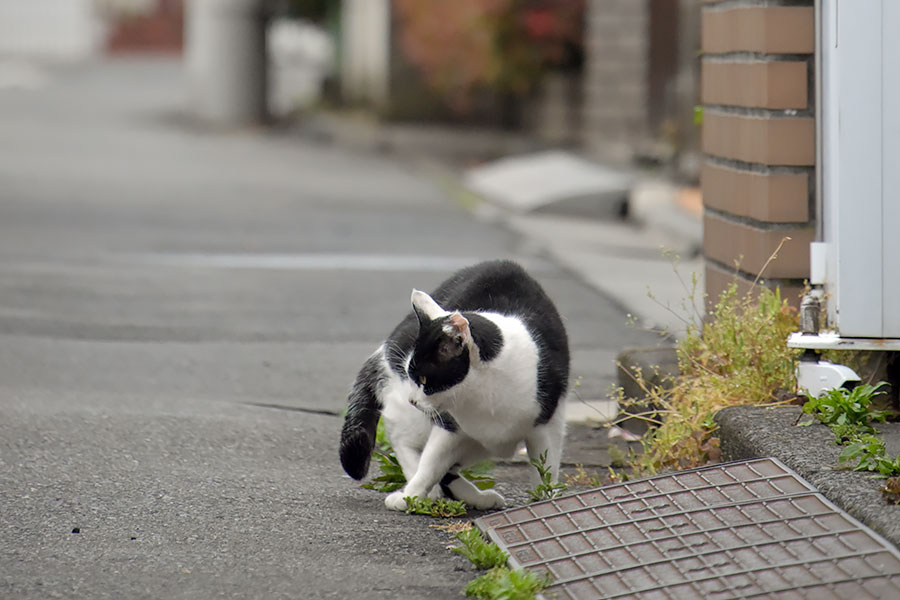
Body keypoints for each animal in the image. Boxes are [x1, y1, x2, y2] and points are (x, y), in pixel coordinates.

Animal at [340, 258, 568, 510]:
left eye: (424, 379)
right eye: (411, 375)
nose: (412, 400)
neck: (485, 396)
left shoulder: (548, 422)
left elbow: (546, 466)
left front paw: (547, 498)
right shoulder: (449, 427)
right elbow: (430, 465)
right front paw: (410, 496)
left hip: (478, 443)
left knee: (450, 469)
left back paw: (478, 497)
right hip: (418, 417)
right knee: (403, 440)